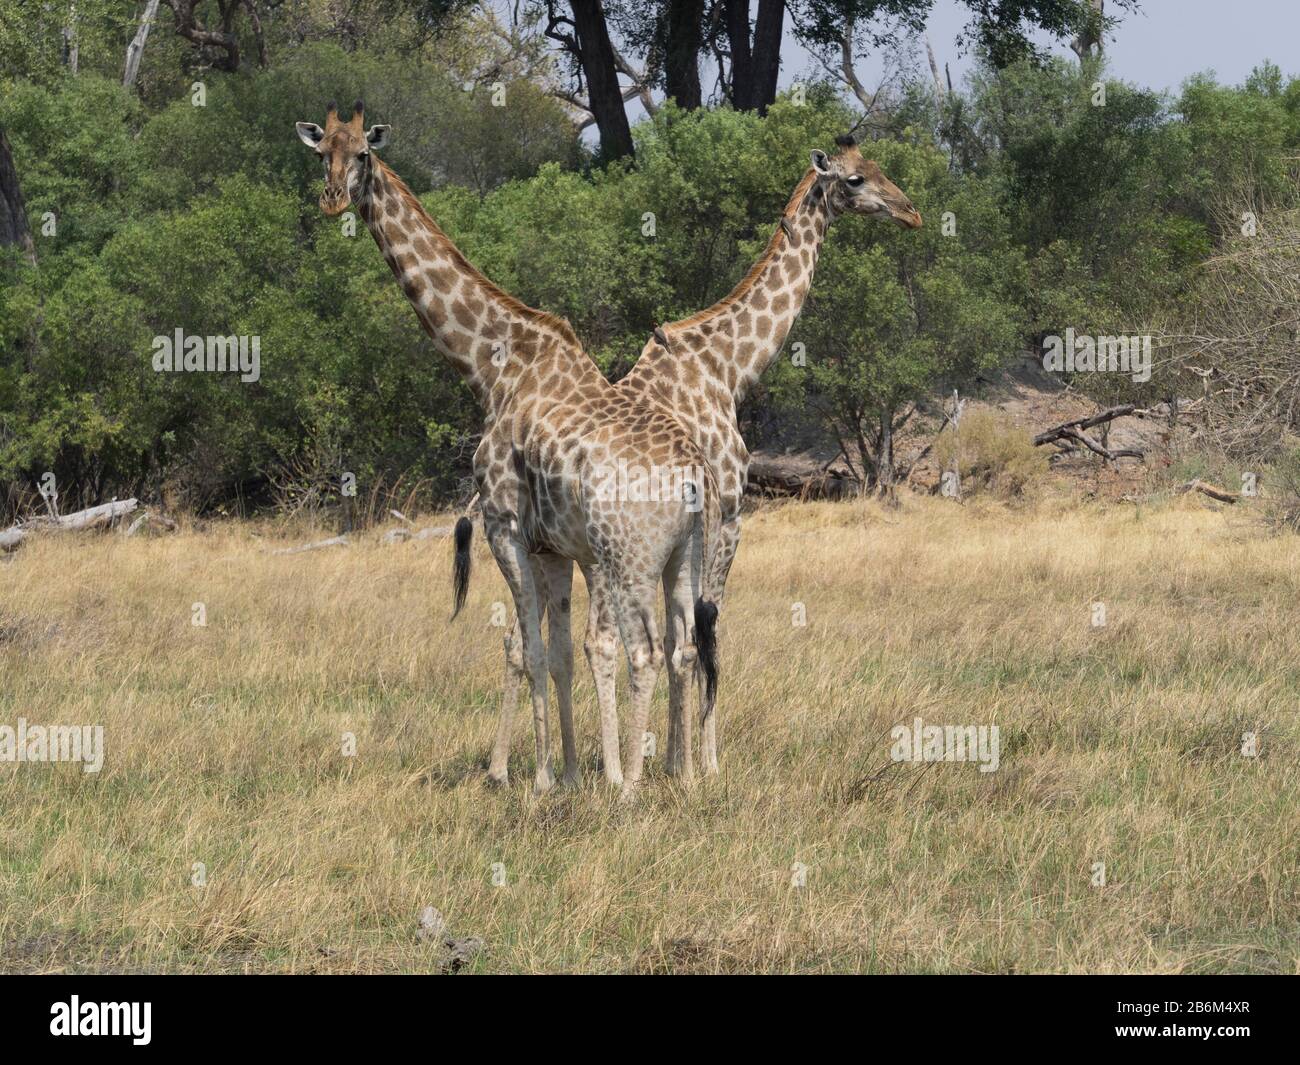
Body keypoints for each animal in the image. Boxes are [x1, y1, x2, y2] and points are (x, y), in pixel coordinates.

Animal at [295, 102, 728, 801]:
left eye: (362, 152)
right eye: (320, 153)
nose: (334, 199)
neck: (492, 365)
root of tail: (696, 476)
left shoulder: (503, 526)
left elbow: (526, 649)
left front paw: (537, 780)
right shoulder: (552, 547)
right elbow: (557, 653)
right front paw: (571, 773)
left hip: (628, 557)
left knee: (642, 651)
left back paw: (630, 788)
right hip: (685, 556)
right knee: (684, 646)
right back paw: (684, 776)